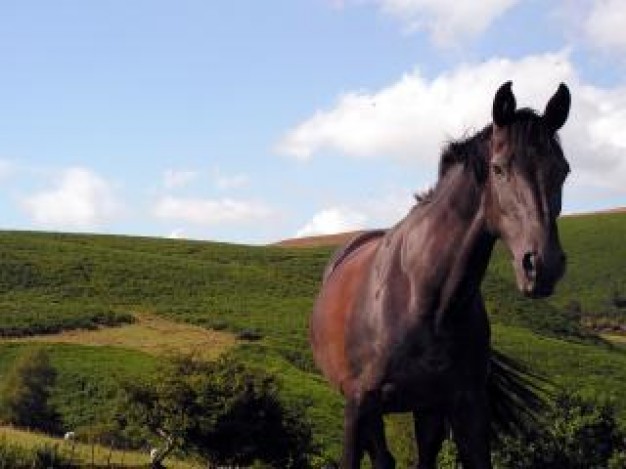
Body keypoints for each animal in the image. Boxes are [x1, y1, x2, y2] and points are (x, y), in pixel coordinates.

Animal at [308, 82, 572, 466]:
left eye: (563, 170)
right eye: (498, 169)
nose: (543, 266)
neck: (425, 300)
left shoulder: (465, 409)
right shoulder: (357, 406)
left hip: (425, 411)